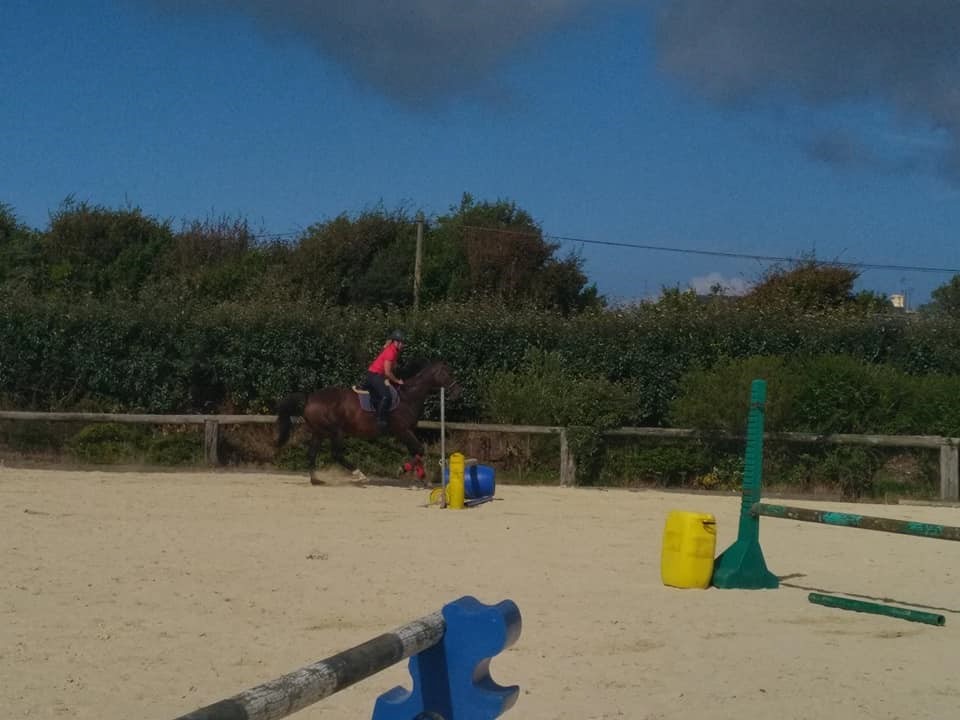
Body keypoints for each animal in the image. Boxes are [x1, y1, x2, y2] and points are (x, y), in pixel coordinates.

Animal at [274, 360, 462, 484]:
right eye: (448, 373)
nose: (457, 392)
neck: (408, 397)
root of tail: (310, 398)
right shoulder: (402, 431)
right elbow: (419, 450)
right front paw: (403, 469)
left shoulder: (408, 431)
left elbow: (417, 452)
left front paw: (421, 477)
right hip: (336, 431)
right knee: (336, 454)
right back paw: (360, 474)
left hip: (319, 432)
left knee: (312, 454)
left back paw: (316, 480)